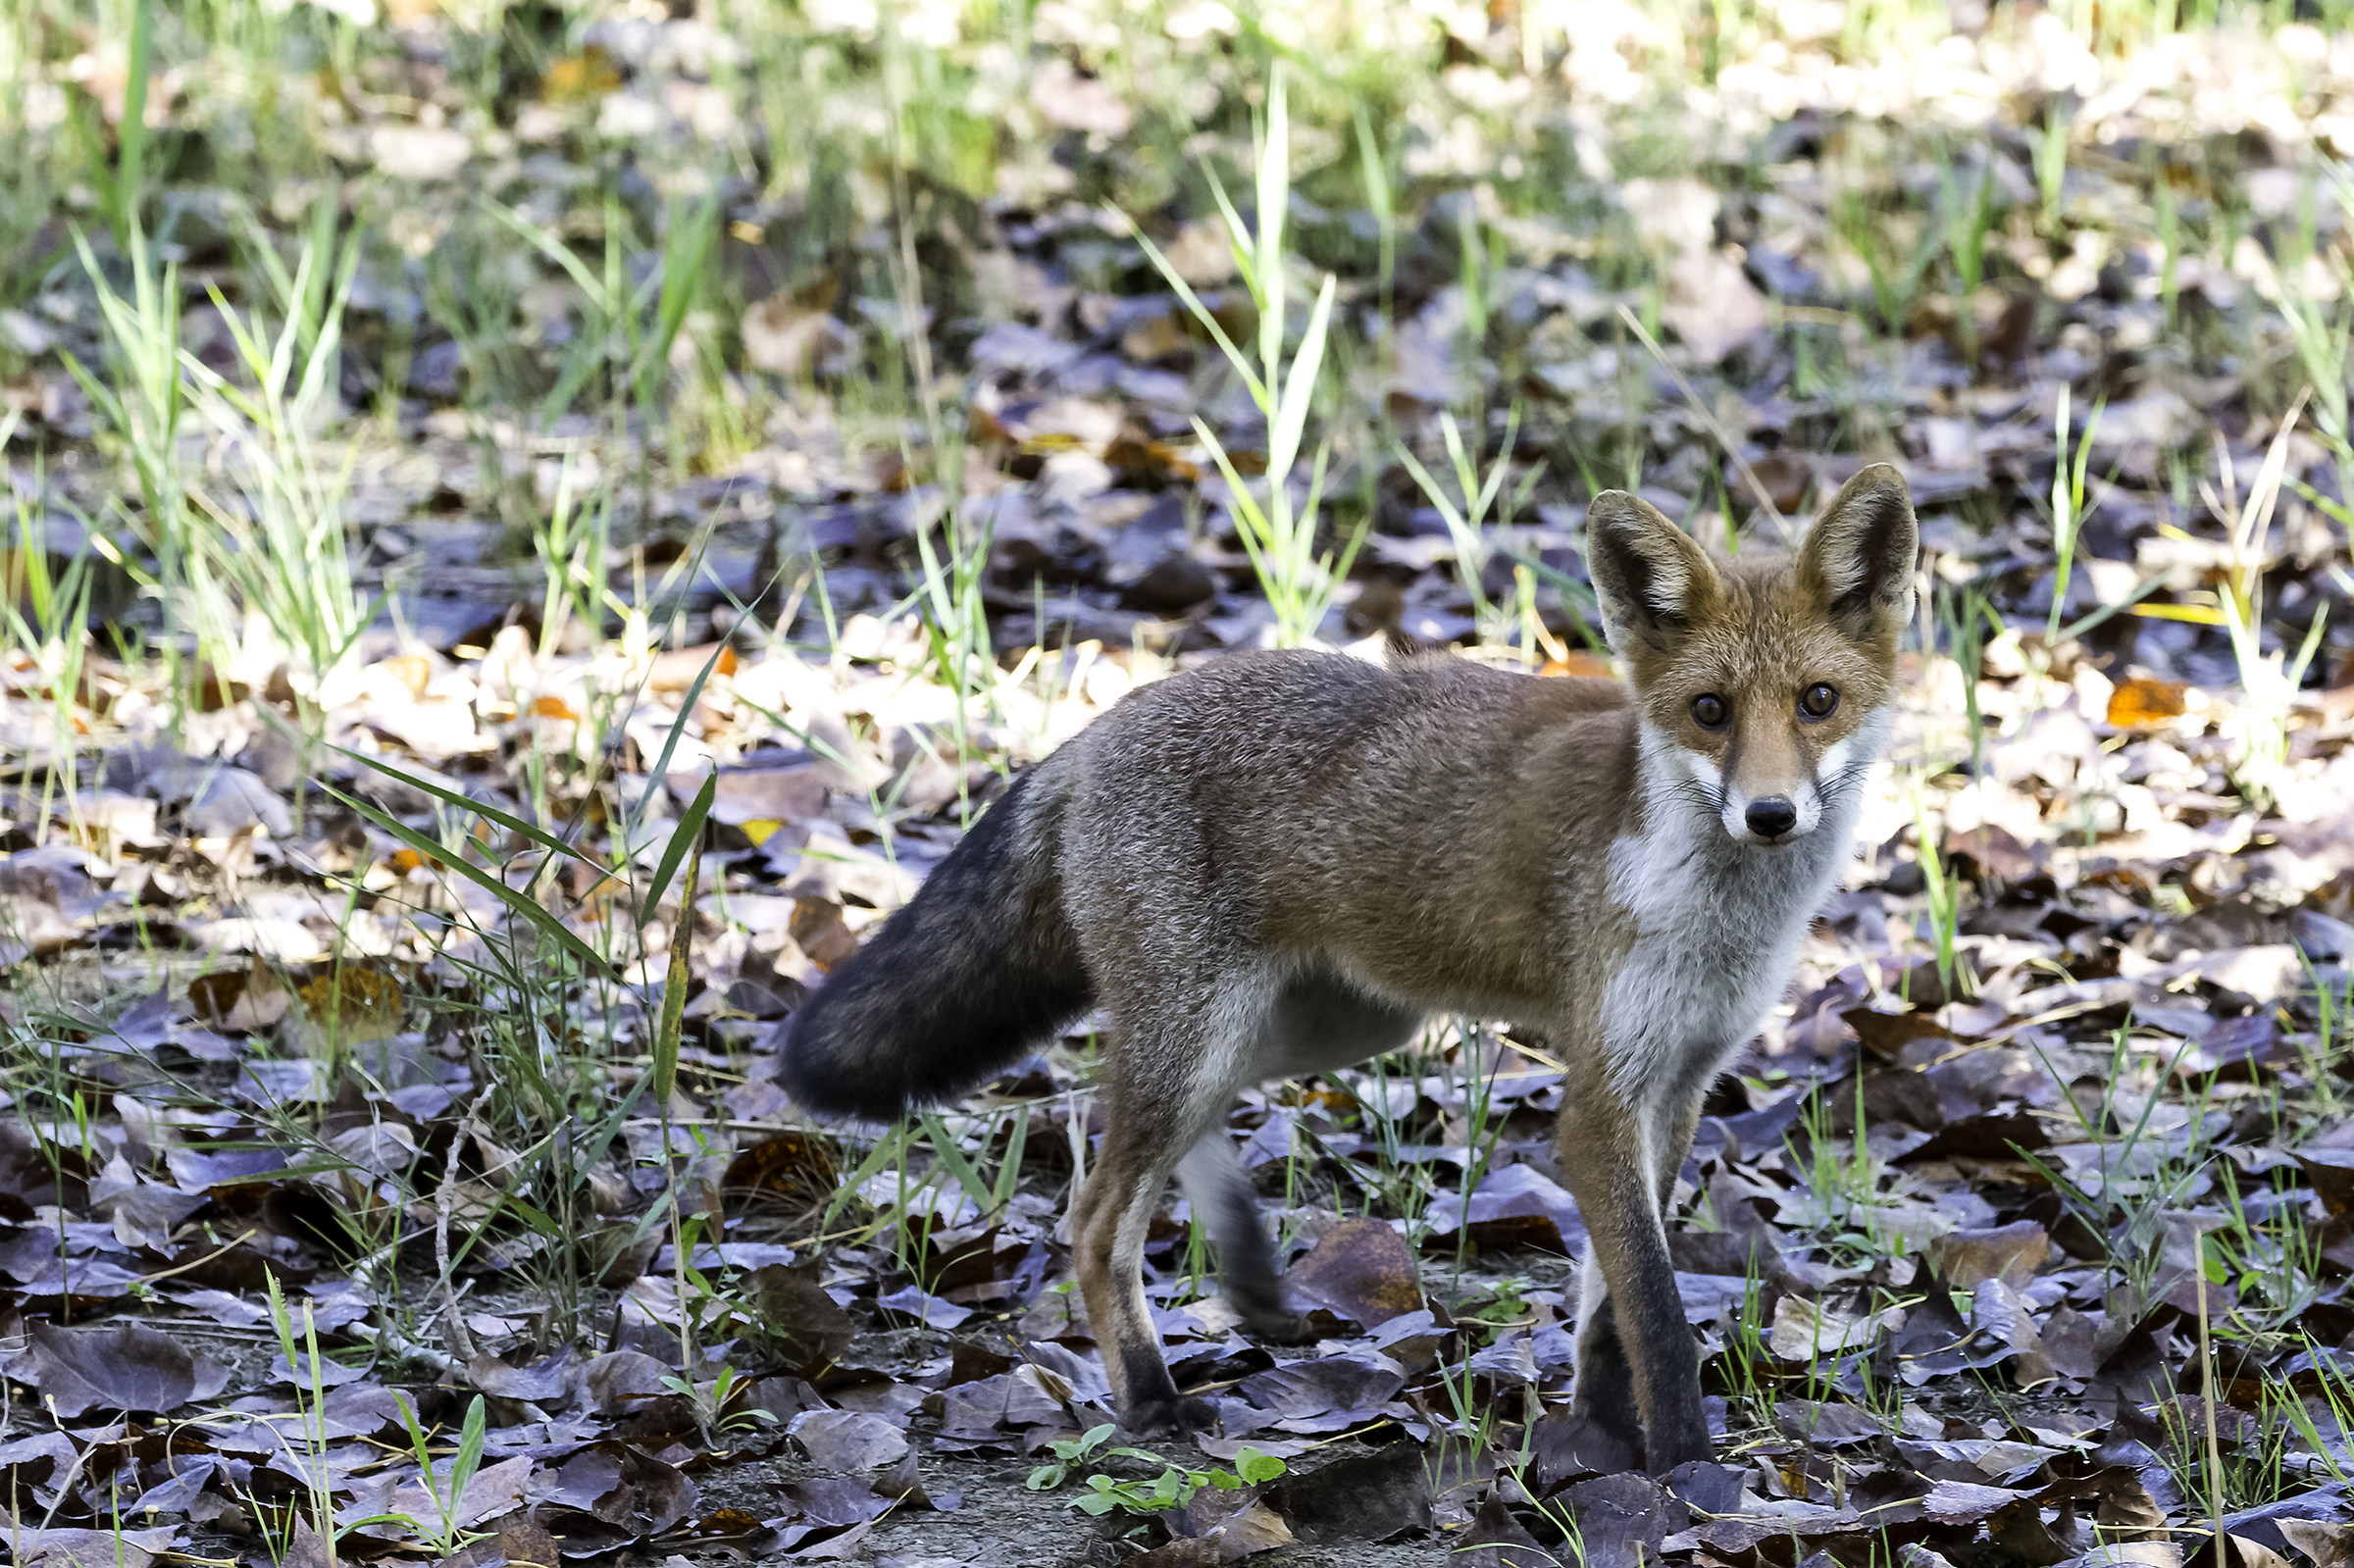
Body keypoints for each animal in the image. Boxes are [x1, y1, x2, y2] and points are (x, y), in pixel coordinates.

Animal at [777, 465, 1917, 1473]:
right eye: (1710, 711)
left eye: (1817, 701)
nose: (1770, 814)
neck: (1715, 915)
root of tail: (1093, 730)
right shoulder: (1602, 1094)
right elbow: (1659, 1312)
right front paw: (1683, 1474)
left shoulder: (1676, 1083)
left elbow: (1612, 1308)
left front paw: (1601, 1437)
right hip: (1205, 1034)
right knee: (1096, 1219)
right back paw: (1151, 1399)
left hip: (1319, 1027)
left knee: (1179, 1143)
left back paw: (1249, 1278)